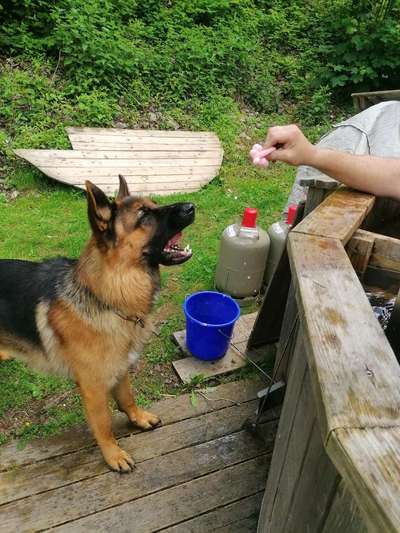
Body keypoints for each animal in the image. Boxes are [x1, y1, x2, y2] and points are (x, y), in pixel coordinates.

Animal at [0, 177, 195, 472]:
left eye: (153, 204)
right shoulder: (93, 388)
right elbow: (103, 425)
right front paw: (113, 454)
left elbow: (127, 397)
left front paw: (138, 418)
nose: (191, 206)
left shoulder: (120, 368)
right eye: (144, 215)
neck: (107, 294)